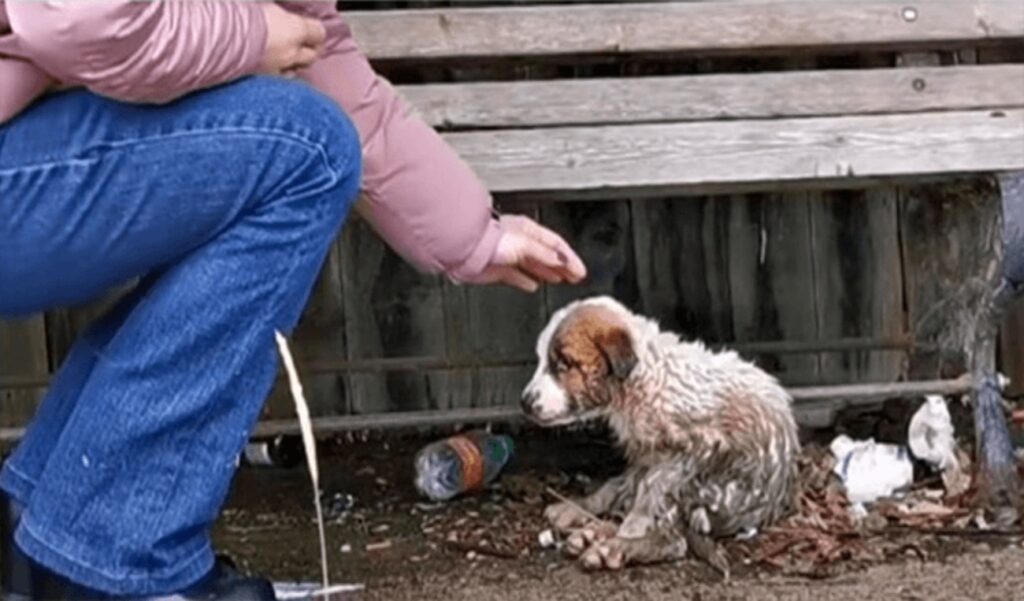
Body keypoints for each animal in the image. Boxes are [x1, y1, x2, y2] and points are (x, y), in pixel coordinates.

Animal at [520, 296, 798, 573]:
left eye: (563, 365)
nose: (524, 403)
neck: (639, 380)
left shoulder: (699, 446)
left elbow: (652, 487)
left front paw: (630, 527)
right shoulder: (645, 453)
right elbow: (620, 486)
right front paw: (585, 509)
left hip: (708, 488)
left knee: (673, 538)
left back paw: (612, 547)